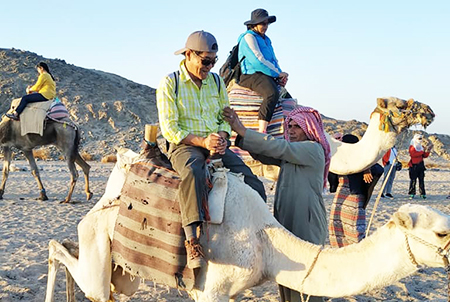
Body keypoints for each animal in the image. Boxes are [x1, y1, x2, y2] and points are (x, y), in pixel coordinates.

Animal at [44, 98, 440, 300]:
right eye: (401, 106)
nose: (430, 111)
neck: (266, 240)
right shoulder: (210, 291)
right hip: (97, 237)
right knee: (61, 253)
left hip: (123, 266)